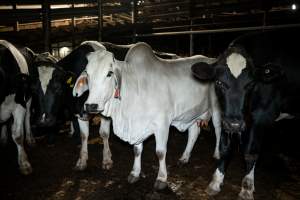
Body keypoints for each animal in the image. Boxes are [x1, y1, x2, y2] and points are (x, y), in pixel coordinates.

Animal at [0, 39, 36, 174]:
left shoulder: (19, 104)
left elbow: (18, 135)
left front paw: (24, 163)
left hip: (29, 95)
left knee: (28, 116)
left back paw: (30, 139)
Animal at [73, 41, 221, 189]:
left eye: (109, 73)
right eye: (87, 74)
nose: (91, 105)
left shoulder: (162, 124)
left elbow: (160, 152)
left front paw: (161, 178)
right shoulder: (137, 125)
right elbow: (137, 150)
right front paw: (135, 173)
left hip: (216, 110)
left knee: (218, 130)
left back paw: (217, 154)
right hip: (192, 113)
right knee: (194, 133)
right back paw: (184, 158)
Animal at [192, 30, 300, 200]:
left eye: (250, 84)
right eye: (219, 83)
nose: (235, 124)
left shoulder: (261, 117)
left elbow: (250, 152)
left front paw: (247, 188)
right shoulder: (226, 117)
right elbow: (225, 148)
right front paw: (216, 182)